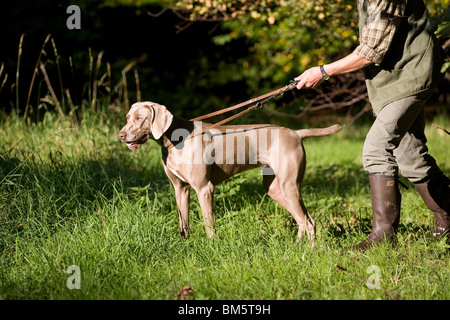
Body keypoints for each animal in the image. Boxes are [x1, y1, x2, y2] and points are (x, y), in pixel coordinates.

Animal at [118, 102, 342, 240]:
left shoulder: (204, 188)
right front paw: (185, 245)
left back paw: (308, 255)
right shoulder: (180, 189)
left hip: (289, 185)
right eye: (127, 117)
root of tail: (296, 133)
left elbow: (209, 223)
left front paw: (212, 247)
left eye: (139, 118)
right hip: (276, 189)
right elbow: (184, 223)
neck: (175, 138)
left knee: (308, 222)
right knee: (304, 220)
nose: (120, 135)